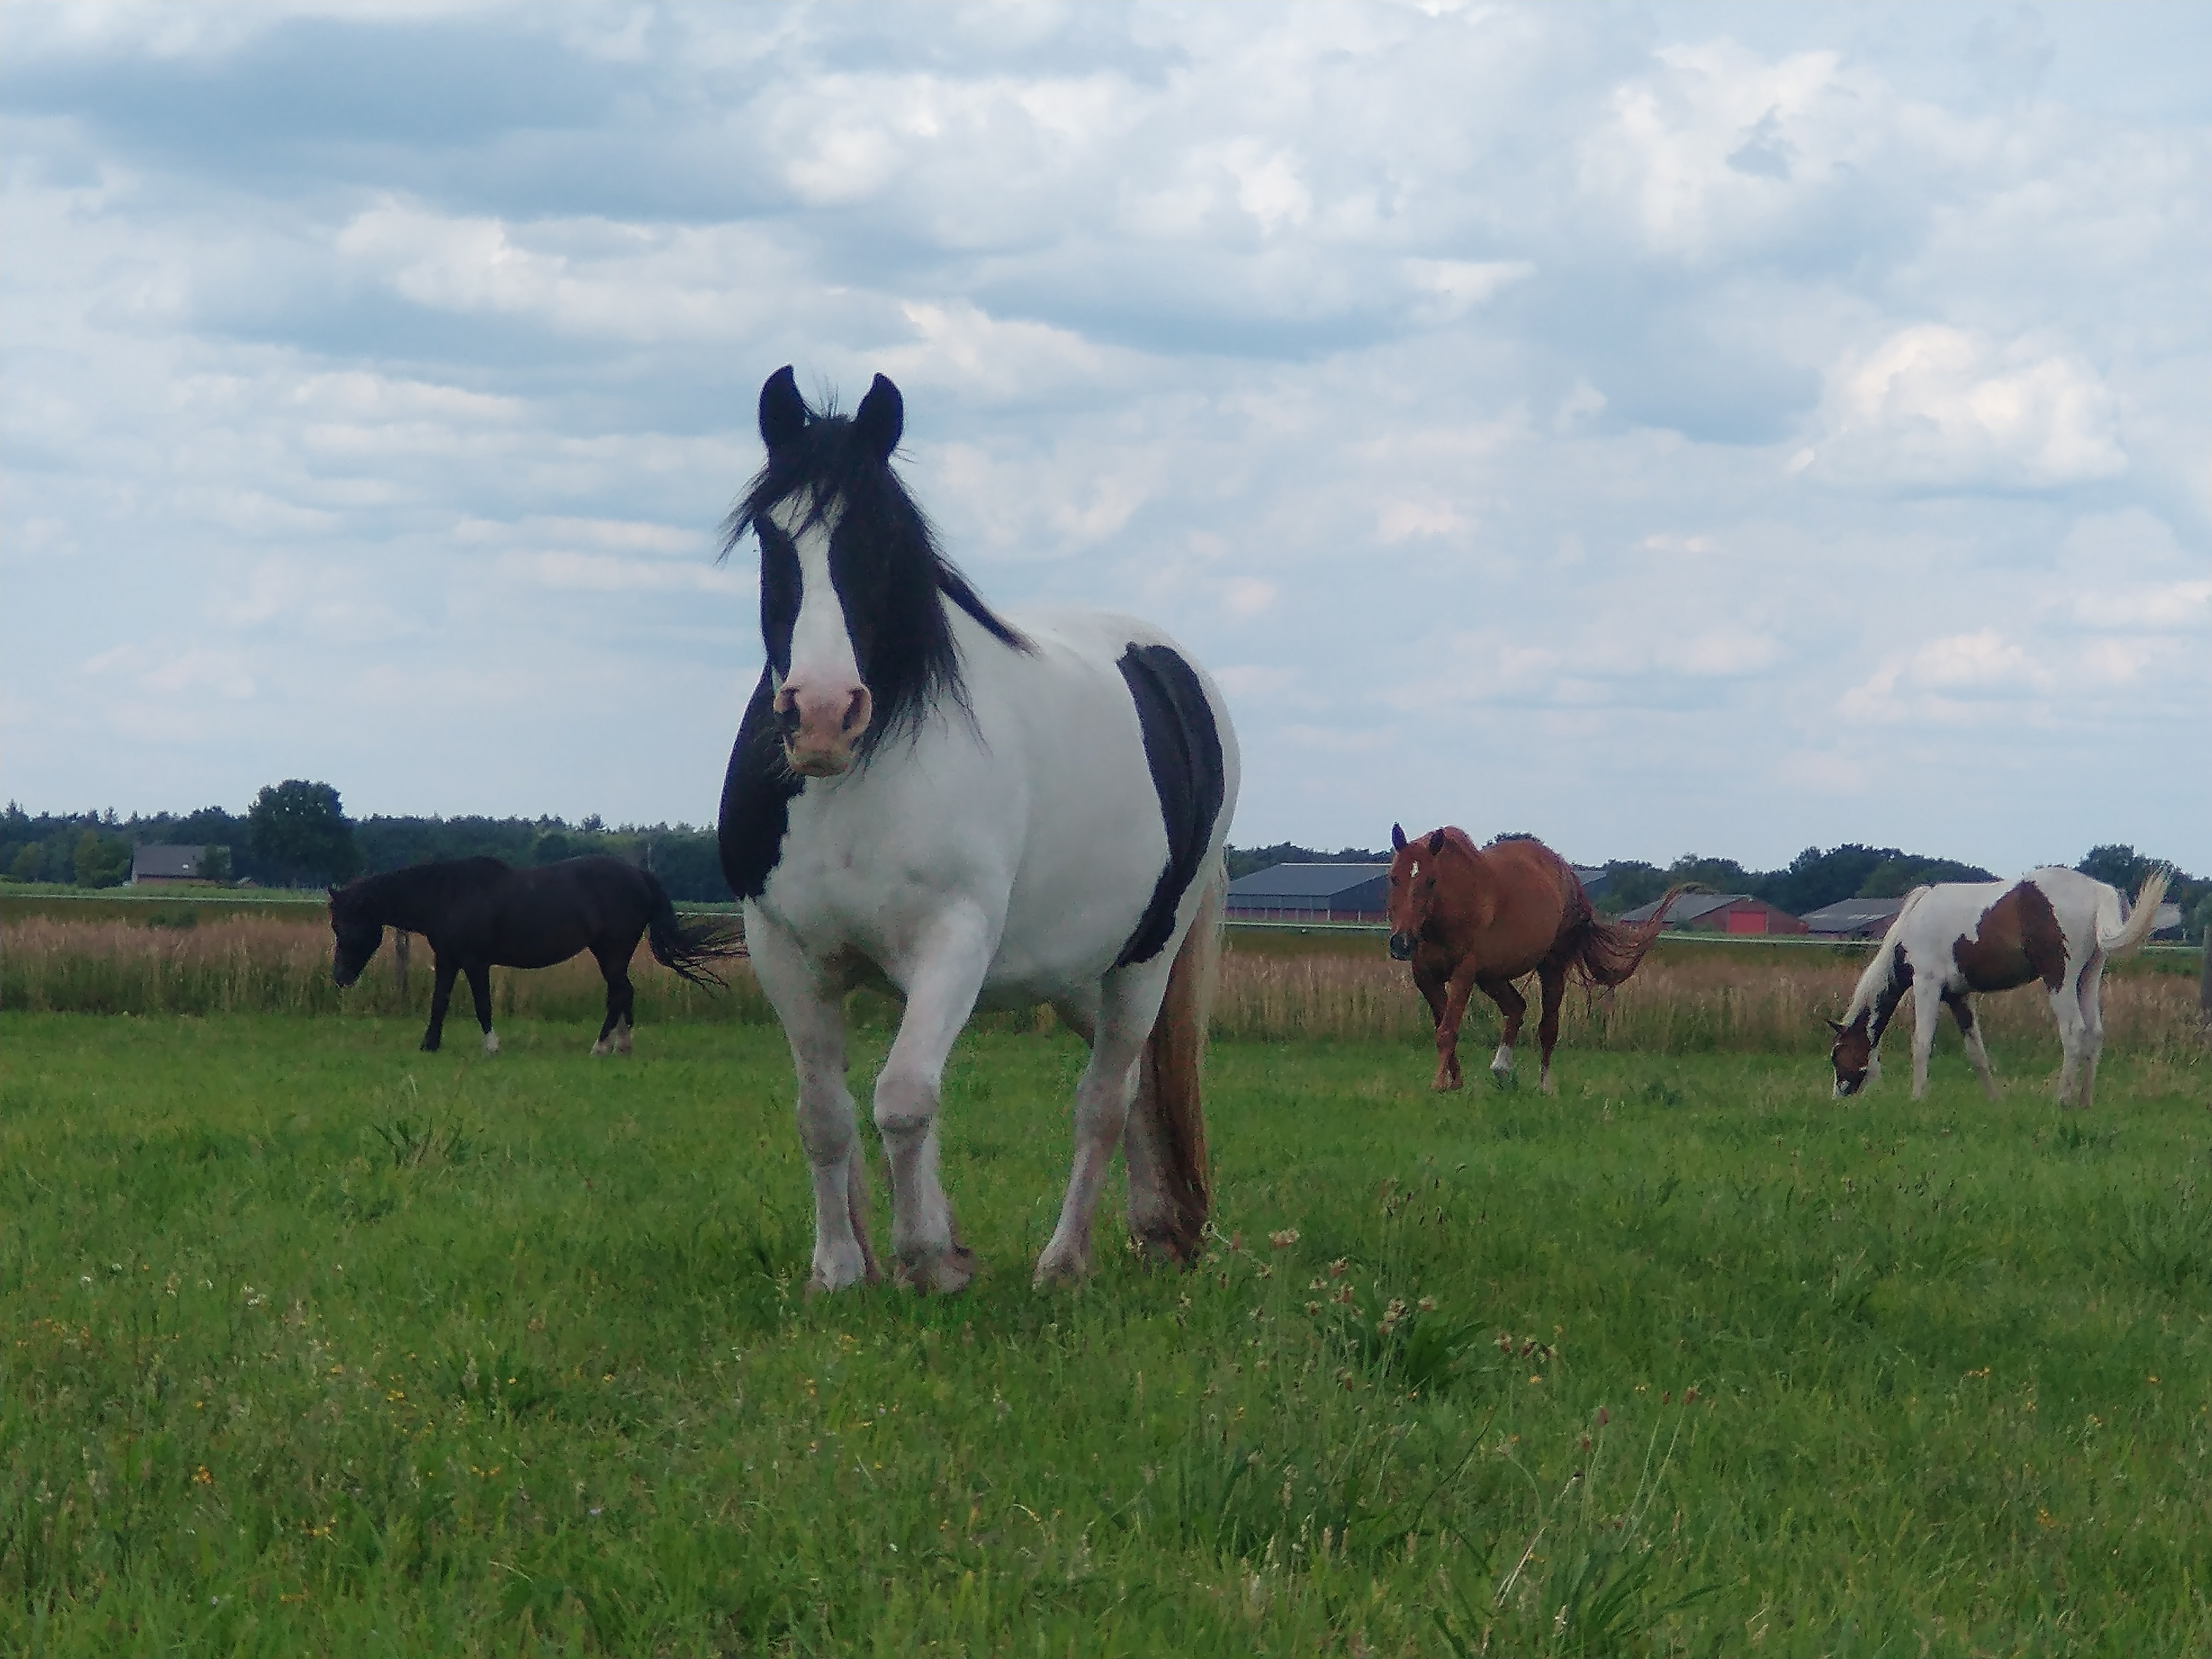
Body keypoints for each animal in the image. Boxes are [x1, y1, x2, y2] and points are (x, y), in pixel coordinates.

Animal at [328, 855, 741, 1055]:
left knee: (620, 994)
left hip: (610, 951)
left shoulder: (475, 962)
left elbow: (482, 1005)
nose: (339, 977)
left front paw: (491, 1047)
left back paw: (600, 1047)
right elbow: (439, 1002)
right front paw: (429, 1045)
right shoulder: (447, 960)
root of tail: (640, 875)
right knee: (623, 994)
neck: (448, 895)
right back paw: (621, 1046)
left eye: (342, 926)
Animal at [717, 366, 1238, 1296]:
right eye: (771, 538)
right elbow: (824, 1114)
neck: (857, 780)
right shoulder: (783, 947)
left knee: (1104, 1100)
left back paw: (1064, 1263)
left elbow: (903, 1099)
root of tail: (1175, 672)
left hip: (1147, 958)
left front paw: (928, 1258)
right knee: (1141, 1085)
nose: (823, 713)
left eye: (884, 536)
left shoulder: (952, 941)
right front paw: (840, 1267)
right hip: (1078, 969)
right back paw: (1156, 1229)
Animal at [1386, 825, 1687, 1094]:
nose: (1401, 943)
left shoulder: (1464, 973)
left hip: (1551, 967)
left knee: (1548, 1027)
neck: (1452, 910)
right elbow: (1443, 1027)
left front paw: (1439, 1084)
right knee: (1516, 1008)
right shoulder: (1426, 977)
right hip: (1492, 976)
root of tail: (1568, 875)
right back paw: (1501, 1068)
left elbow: (1448, 1029)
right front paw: (1455, 1082)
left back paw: (1545, 1086)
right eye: (1394, 878)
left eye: (1430, 882)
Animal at [1827, 866, 2169, 1108]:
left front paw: (1918, 1098)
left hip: (2060, 980)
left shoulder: (1927, 985)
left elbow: (1922, 1043)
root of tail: (2097, 891)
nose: (1838, 1097)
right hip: (2087, 980)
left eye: (1837, 1056)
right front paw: (1994, 1100)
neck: (1912, 926)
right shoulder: (1957, 996)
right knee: (2095, 1033)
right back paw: (2084, 1101)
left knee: (2075, 1032)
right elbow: (1975, 1050)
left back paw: (2062, 1100)